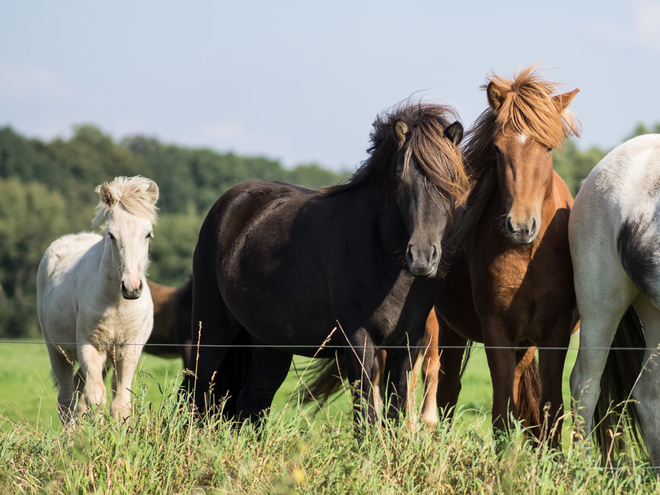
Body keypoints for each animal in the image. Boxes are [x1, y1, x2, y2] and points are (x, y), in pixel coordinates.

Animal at [37, 175, 159, 426]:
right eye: (112, 235)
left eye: (147, 234)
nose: (132, 287)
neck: (117, 303)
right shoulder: (90, 347)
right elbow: (95, 398)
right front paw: (97, 436)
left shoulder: (128, 350)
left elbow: (120, 403)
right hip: (57, 350)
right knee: (66, 399)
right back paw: (70, 435)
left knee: (78, 390)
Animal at [180, 101, 470, 426]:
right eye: (401, 179)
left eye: (451, 180)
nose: (420, 257)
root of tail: (229, 203)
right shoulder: (358, 342)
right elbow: (367, 418)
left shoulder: (408, 344)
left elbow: (395, 415)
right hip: (212, 329)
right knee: (197, 395)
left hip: (270, 343)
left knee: (252, 402)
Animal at [434, 67, 584, 446]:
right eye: (498, 149)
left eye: (548, 147)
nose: (520, 226)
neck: (529, 256)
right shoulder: (496, 332)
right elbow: (501, 411)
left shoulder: (554, 333)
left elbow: (551, 407)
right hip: (449, 329)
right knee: (447, 391)